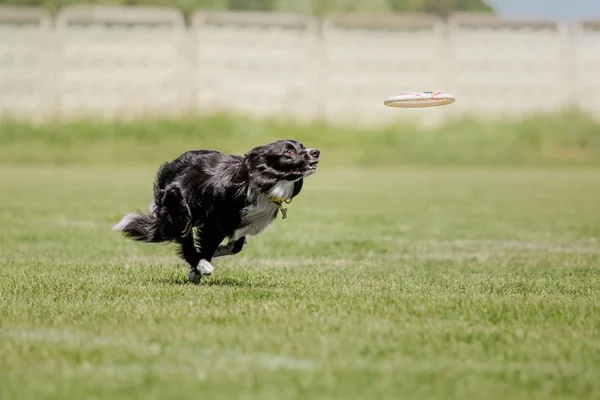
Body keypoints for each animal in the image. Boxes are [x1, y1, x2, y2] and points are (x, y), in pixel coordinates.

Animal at [112, 139, 318, 282]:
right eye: (289, 151)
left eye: (302, 146)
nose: (316, 152)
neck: (260, 183)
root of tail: (171, 165)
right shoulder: (216, 221)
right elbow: (209, 244)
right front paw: (200, 266)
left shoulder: (240, 222)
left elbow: (235, 246)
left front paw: (219, 251)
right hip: (179, 208)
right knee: (185, 238)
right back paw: (201, 265)